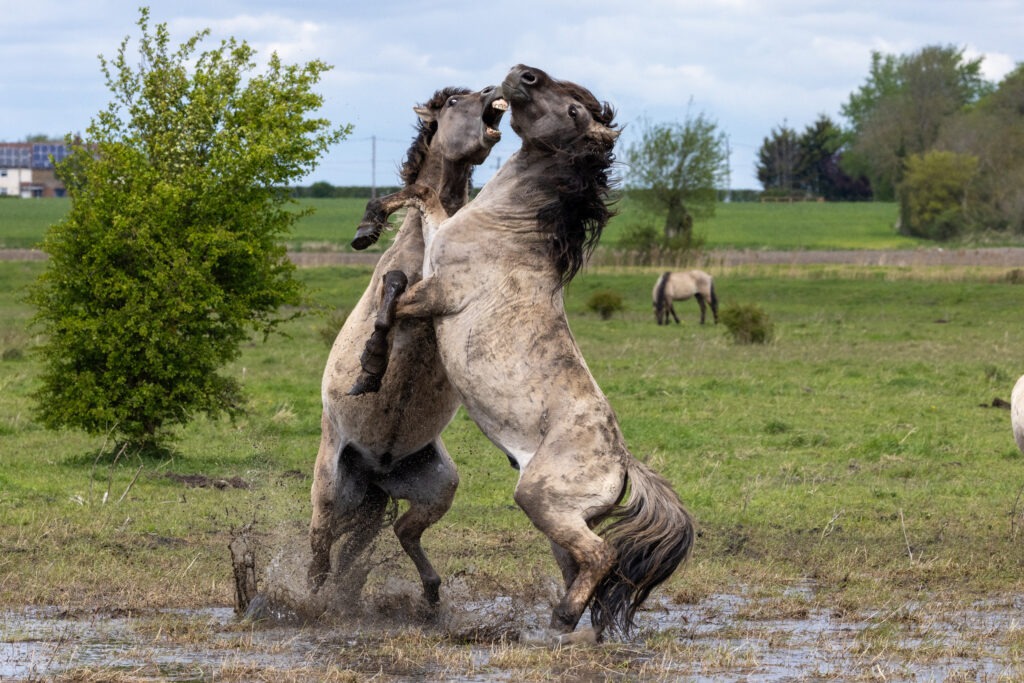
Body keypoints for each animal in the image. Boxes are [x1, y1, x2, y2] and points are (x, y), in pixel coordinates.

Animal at [352, 63, 696, 643]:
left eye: (575, 110)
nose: (522, 74)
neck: (507, 229)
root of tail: (623, 465)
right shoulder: (437, 247)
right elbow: (420, 197)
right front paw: (367, 224)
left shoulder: (440, 293)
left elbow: (394, 298)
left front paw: (368, 371)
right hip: (563, 521)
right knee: (584, 566)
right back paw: (576, 626)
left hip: (539, 500)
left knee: (600, 557)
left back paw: (561, 620)